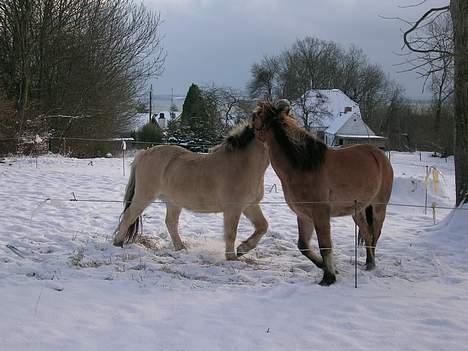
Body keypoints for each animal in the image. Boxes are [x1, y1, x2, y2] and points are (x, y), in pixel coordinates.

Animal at [112, 124, 270, 262]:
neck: (242, 164)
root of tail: (144, 153)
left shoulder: (250, 205)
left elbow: (263, 226)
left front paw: (243, 249)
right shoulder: (233, 208)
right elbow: (231, 233)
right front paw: (232, 257)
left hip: (173, 202)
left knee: (170, 222)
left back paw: (180, 248)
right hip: (144, 196)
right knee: (129, 216)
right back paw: (118, 243)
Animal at [250, 101, 394, 286]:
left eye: (254, 117)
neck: (303, 166)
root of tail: (378, 155)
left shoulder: (320, 214)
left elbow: (325, 245)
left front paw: (329, 277)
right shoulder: (304, 215)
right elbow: (303, 245)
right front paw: (327, 268)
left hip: (378, 208)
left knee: (375, 235)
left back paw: (372, 263)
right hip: (358, 211)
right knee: (367, 235)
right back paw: (369, 263)